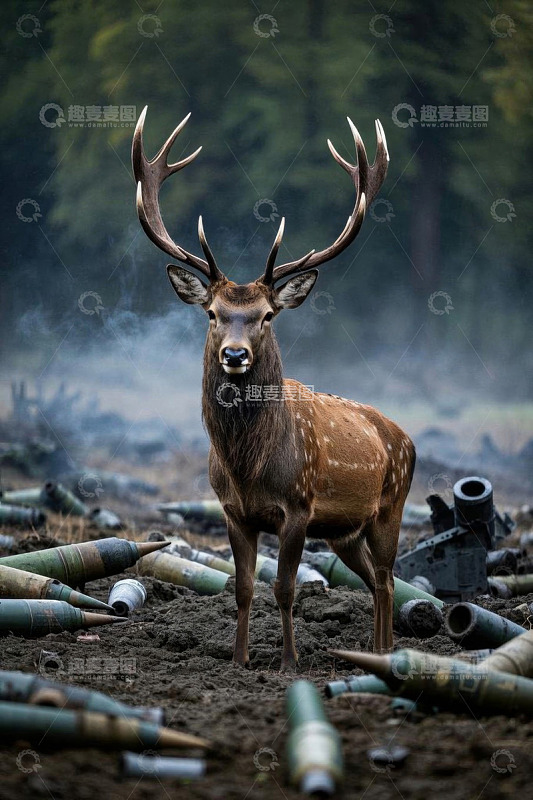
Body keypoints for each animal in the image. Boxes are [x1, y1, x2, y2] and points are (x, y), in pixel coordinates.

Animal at [132, 107, 416, 670]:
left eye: (266, 315)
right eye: (213, 313)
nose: (235, 355)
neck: (249, 466)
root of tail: (407, 438)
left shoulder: (298, 507)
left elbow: (285, 588)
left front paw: (288, 662)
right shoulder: (233, 511)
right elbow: (242, 587)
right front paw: (239, 660)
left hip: (390, 505)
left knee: (388, 577)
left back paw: (386, 652)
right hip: (345, 531)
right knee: (376, 580)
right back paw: (375, 650)